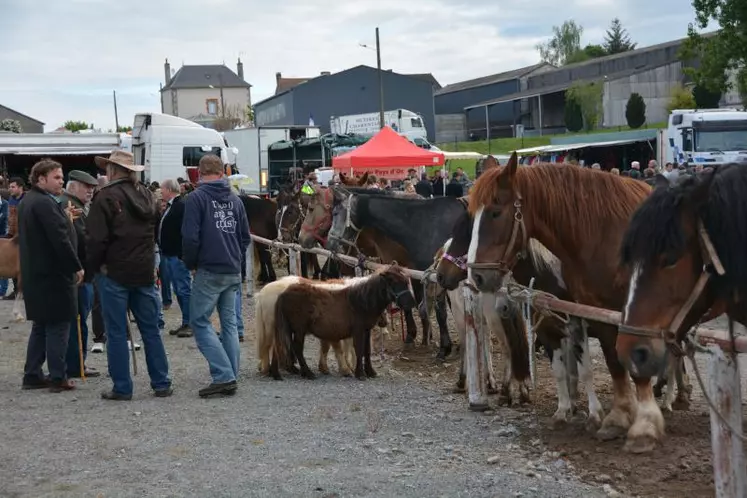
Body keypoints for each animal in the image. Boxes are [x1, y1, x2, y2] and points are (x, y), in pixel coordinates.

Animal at [272, 266, 418, 380]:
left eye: (406, 282)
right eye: (393, 282)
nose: (411, 303)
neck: (361, 302)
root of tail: (283, 294)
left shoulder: (366, 330)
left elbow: (367, 351)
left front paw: (370, 372)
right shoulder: (358, 330)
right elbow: (359, 350)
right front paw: (360, 374)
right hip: (299, 329)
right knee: (297, 348)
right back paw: (308, 373)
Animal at [326, 185, 462, 360]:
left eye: (335, 213)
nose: (330, 243)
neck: (425, 222)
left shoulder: (437, 279)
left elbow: (441, 313)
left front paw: (444, 348)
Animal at [438, 206, 600, 424]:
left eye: (466, 233)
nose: (441, 275)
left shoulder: (575, 326)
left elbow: (583, 369)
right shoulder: (547, 329)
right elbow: (563, 369)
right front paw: (567, 408)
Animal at [464, 154, 668, 454]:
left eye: (495, 212)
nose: (477, 276)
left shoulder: (601, 320)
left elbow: (598, 368)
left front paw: (631, 423)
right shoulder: (577, 319)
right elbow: (588, 366)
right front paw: (599, 415)